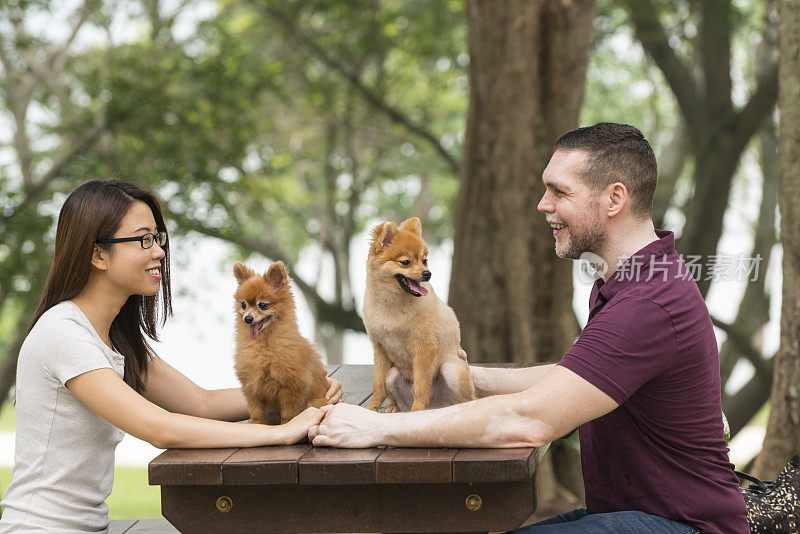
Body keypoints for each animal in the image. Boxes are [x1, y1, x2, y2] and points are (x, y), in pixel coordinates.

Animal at [233, 262, 330, 426]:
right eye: (244, 305)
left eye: (262, 305)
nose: (248, 318)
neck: (263, 345)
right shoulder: (251, 386)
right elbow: (256, 412)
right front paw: (256, 425)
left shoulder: (290, 386)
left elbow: (288, 413)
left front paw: (287, 425)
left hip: (315, 402)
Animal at [364, 218, 476, 414]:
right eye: (406, 262)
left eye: (425, 261)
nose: (427, 273)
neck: (391, 303)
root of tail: (435, 406)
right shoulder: (380, 348)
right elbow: (377, 383)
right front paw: (372, 407)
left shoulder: (424, 348)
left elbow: (421, 385)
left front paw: (417, 410)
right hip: (392, 374)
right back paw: (392, 407)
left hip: (452, 371)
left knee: (470, 398)